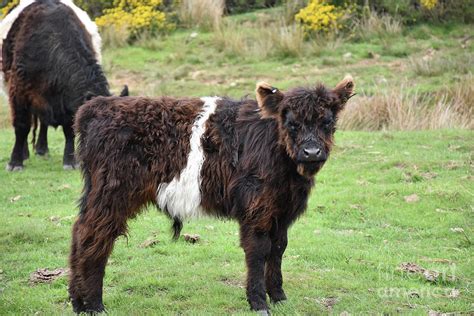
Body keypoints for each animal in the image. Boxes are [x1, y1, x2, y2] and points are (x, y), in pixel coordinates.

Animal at [68, 76, 354, 314]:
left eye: (327, 122)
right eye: (292, 123)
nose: (312, 152)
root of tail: (98, 106)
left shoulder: (281, 210)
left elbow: (278, 249)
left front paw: (279, 297)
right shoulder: (256, 208)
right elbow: (258, 250)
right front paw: (259, 302)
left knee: (79, 231)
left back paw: (77, 301)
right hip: (111, 193)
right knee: (94, 235)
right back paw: (94, 304)